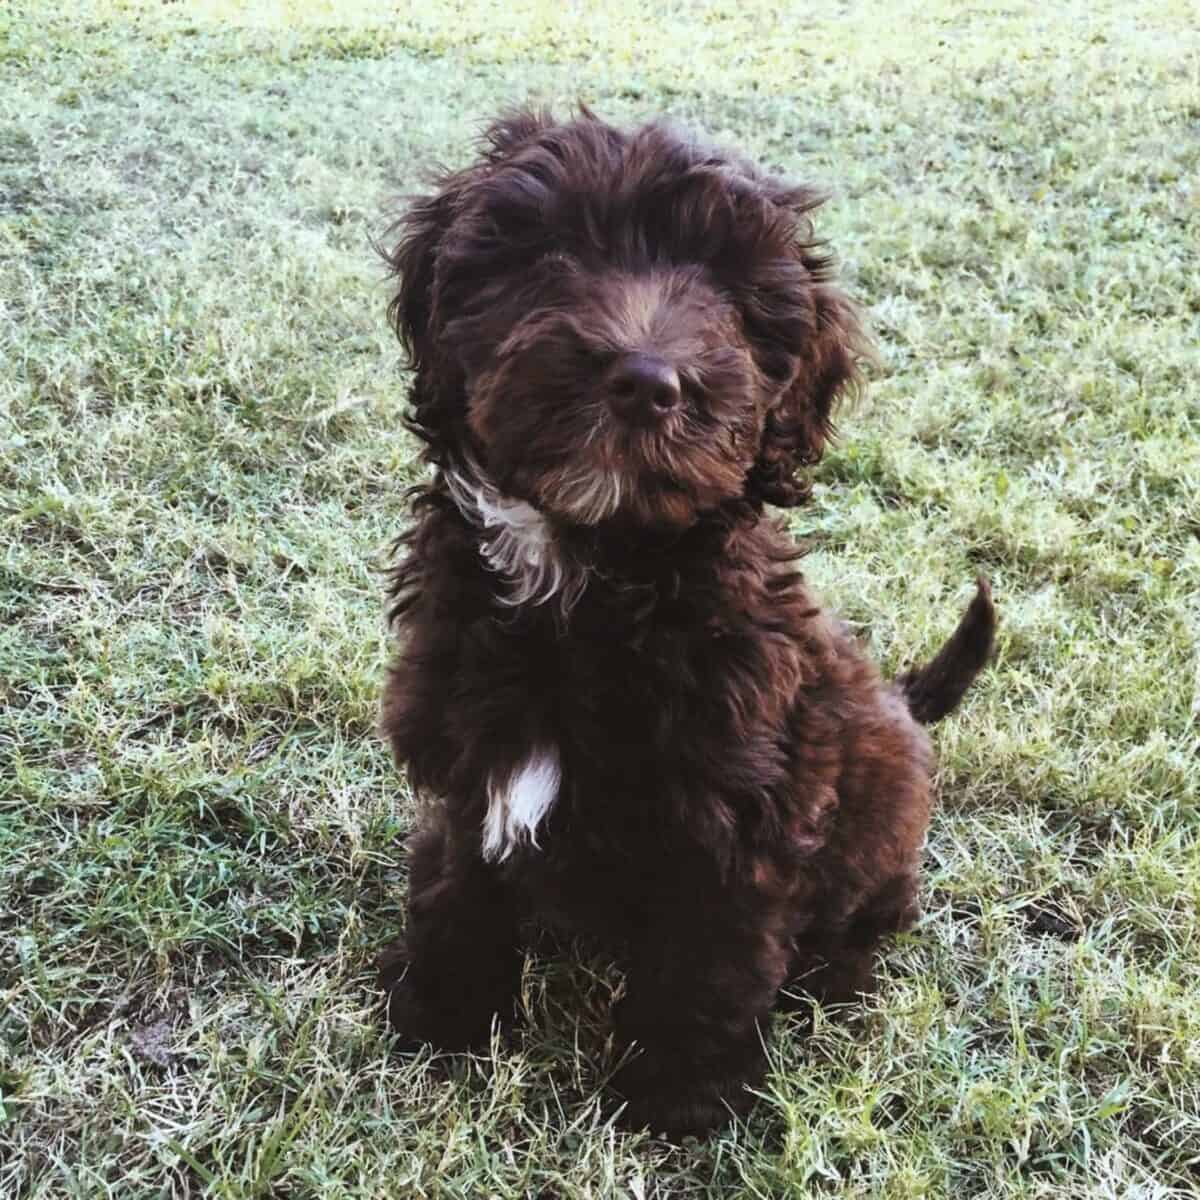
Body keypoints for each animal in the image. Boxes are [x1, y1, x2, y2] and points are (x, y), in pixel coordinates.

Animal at [374, 108, 993, 1137]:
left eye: (735, 301)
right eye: (551, 251)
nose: (646, 381)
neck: (589, 578)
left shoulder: (745, 812)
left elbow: (712, 957)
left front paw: (677, 1098)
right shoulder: (467, 768)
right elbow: (460, 883)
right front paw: (444, 1015)